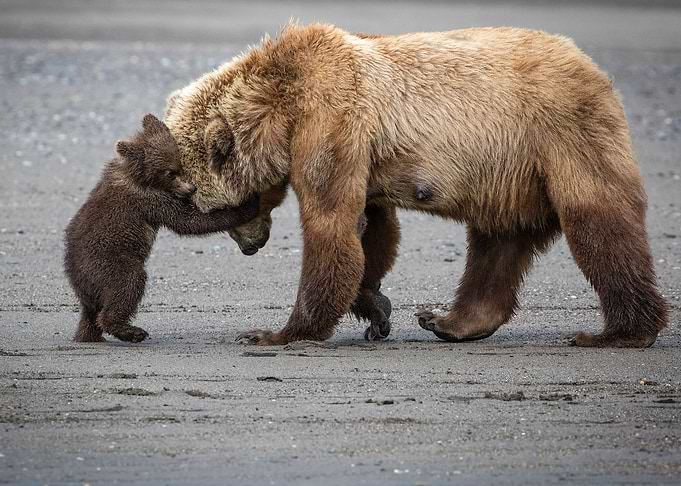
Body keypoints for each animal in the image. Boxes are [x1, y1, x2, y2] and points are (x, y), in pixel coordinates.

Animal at [64, 114, 258, 343]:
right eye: (169, 173)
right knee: (128, 284)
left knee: (91, 314)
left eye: (179, 165)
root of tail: (77, 280)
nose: (191, 188)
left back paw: (89, 335)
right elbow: (188, 221)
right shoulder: (150, 200)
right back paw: (131, 331)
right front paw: (248, 204)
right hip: (107, 262)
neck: (137, 176)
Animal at [164, 23, 668, 348]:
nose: (251, 246)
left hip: (560, 133)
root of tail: (592, 66)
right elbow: (371, 228)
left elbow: (331, 223)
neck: (280, 105)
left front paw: (276, 332)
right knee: (497, 242)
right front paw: (375, 308)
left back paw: (620, 332)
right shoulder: (361, 149)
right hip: (509, 174)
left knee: (598, 221)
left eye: (203, 203)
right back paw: (450, 321)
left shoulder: (331, 118)